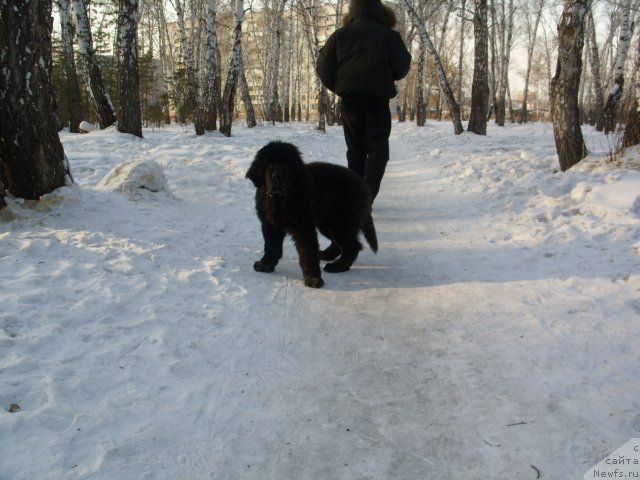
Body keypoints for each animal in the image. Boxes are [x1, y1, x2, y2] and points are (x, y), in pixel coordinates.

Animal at [248, 140, 378, 288]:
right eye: (269, 165)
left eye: (286, 166)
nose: (277, 177)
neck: (281, 200)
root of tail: (364, 186)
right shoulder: (270, 225)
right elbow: (271, 246)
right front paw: (265, 265)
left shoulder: (303, 227)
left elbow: (308, 252)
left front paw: (313, 279)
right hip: (329, 223)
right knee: (341, 244)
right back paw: (326, 255)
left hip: (339, 222)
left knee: (353, 246)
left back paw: (337, 266)